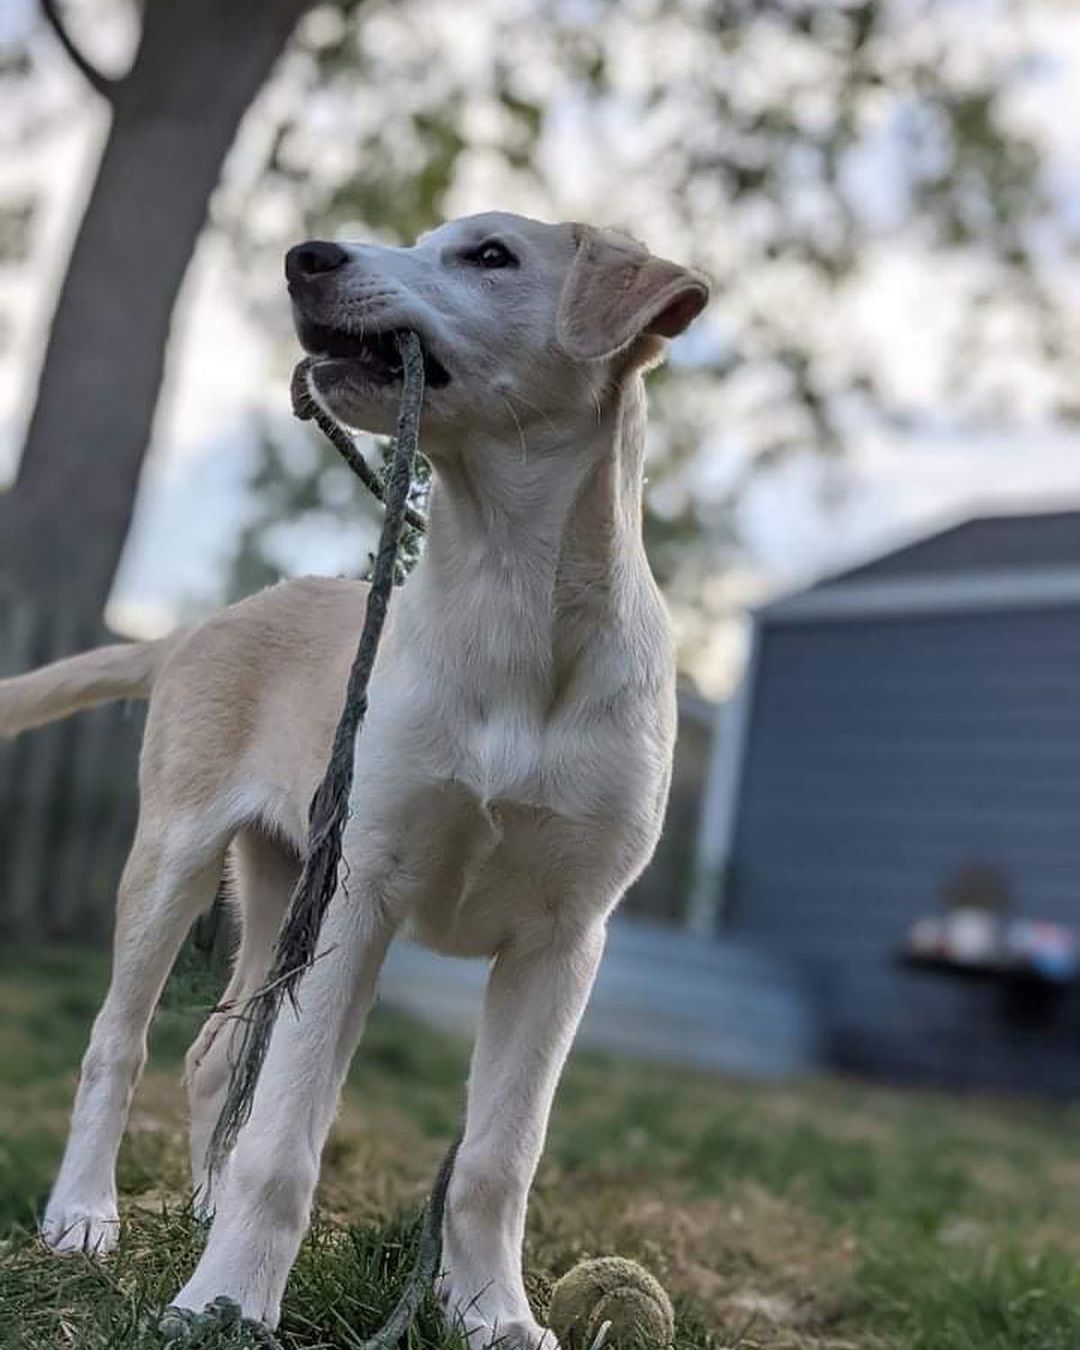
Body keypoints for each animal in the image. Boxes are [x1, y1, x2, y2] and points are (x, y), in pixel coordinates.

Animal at [2, 216, 707, 1344]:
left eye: (491, 255)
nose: (305, 257)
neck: (508, 597)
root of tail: (203, 625)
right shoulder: (360, 895)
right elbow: (287, 1140)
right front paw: (228, 1304)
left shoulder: (564, 940)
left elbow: (498, 1158)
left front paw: (494, 1315)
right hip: (177, 859)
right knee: (121, 1043)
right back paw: (84, 1217)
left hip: (278, 880)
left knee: (215, 1056)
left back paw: (201, 1212)